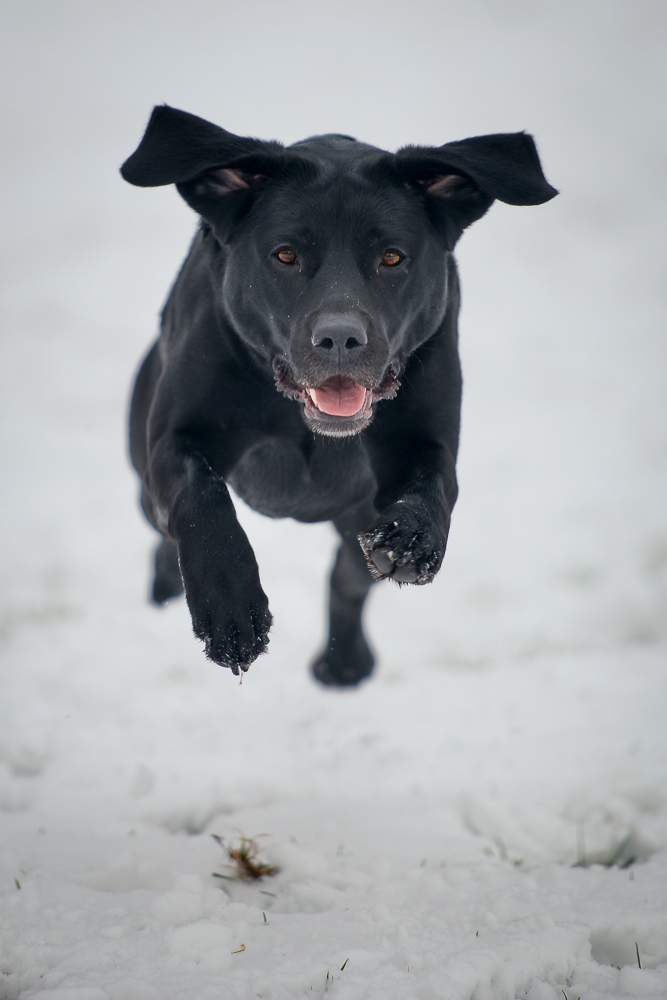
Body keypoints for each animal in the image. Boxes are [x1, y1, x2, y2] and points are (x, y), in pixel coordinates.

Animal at [121, 109, 560, 688]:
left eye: (392, 257)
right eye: (286, 255)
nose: (339, 338)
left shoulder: (426, 436)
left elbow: (433, 482)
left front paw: (412, 535)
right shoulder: (175, 436)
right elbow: (201, 499)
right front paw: (231, 608)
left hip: (355, 523)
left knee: (349, 578)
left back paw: (345, 663)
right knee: (161, 528)